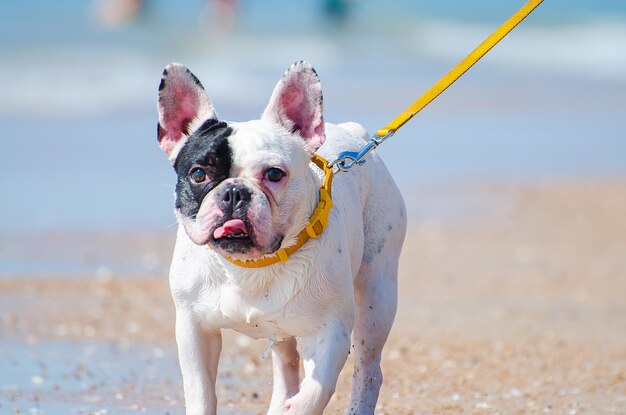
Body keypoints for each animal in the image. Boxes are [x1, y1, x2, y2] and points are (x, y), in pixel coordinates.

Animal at [157, 60, 404, 414]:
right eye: (199, 174)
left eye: (274, 174)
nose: (235, 192)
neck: (251, 265)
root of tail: (354, 132)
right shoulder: (194, 328)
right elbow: (200, 392)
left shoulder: (331, 331)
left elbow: (316, 391)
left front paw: (296, 407)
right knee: (286, 362)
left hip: (376, 296)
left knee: (368, 368)